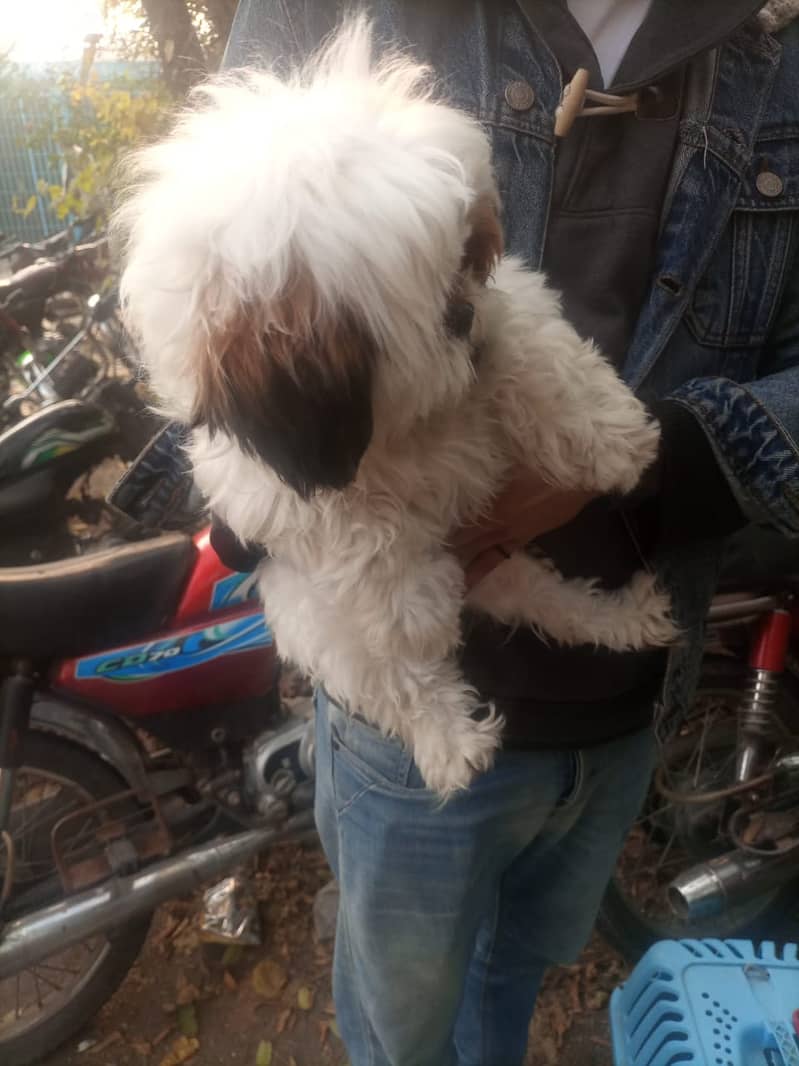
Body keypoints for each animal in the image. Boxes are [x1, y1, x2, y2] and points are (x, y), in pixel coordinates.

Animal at [118, 18, 677, 801]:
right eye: (424, 301)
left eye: (469, 260)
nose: (463, 315)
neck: (394, 424)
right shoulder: (294, 506)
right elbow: (375, 572)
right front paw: (416, 603)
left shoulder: (509, 311)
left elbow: (535, 350)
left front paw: (615, 439)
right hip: (323, 621)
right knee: (406, 676)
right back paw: (452, 743)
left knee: (549, 600)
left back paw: (625, 618)